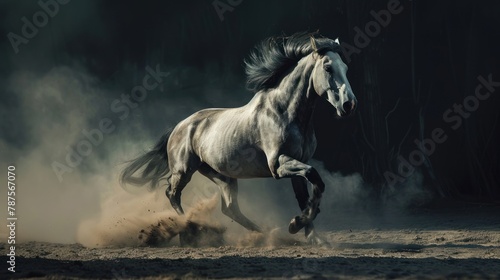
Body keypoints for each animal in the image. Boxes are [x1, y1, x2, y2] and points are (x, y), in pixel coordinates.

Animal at [120, 31, 356, 244]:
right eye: (328, 67)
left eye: (345, 68)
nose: (348, 105)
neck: (285, 112)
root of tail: (179, 127)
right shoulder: (278, 164)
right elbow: (314, 177)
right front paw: (295, 225)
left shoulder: (298, 163)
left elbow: (306, 195)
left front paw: (312, 236)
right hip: (184, 170)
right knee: (172, 194)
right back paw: (189, 232)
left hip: (222, 175)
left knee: (230, 208)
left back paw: (268, 235)